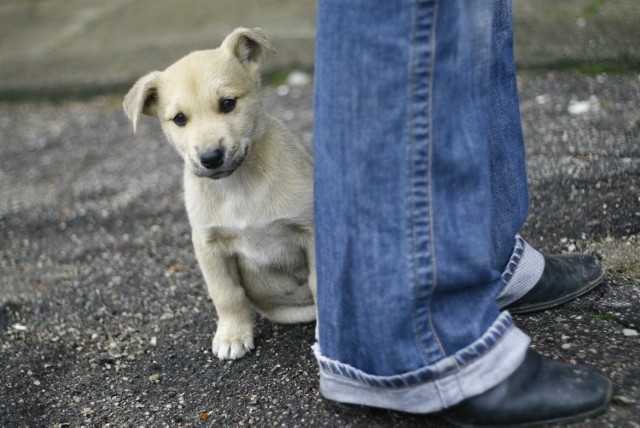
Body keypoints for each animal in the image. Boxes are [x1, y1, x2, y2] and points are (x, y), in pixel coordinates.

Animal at [122, 27, 316, 362]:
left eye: (228, 104)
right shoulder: (208, 244)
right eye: (179, 119)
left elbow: (323, 284)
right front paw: (232, 335)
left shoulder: (312, 229)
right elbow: (226, 295)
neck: (238, 186)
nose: (211, 157)